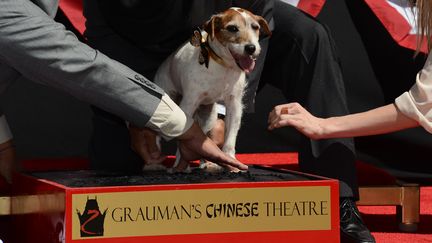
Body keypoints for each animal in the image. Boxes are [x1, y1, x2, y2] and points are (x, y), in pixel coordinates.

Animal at [147, 6, 272, 172]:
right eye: (232, 28)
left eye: (255, 27)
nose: (251, 48)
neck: (223, 66)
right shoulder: (188, 104)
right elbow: (182, 140)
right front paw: (180, 165)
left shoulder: (234, 105)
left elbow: (230, 139)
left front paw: (230, 161)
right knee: (156, 137)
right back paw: (154, 163)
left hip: (209, 117)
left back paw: (206, 163)